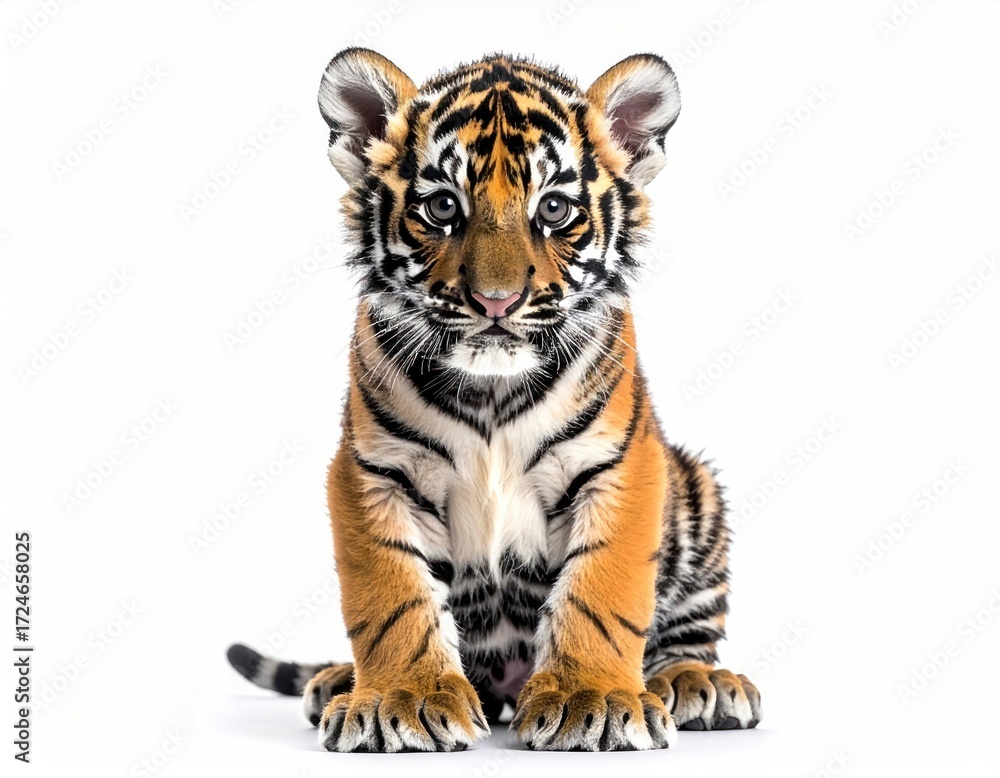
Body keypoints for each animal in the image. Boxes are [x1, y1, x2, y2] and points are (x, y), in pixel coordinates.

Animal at [226, 48, 762, 753]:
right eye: (442, 208)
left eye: (554, 208)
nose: (496, 302)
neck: (492, 391)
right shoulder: (372, 472)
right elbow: (391, 598)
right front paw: (403, 699)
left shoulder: (621, 466)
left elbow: (601, 593)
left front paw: (590, 698)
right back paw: (339, 681)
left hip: (695, 491)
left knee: (685, 637)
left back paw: (697, 682)